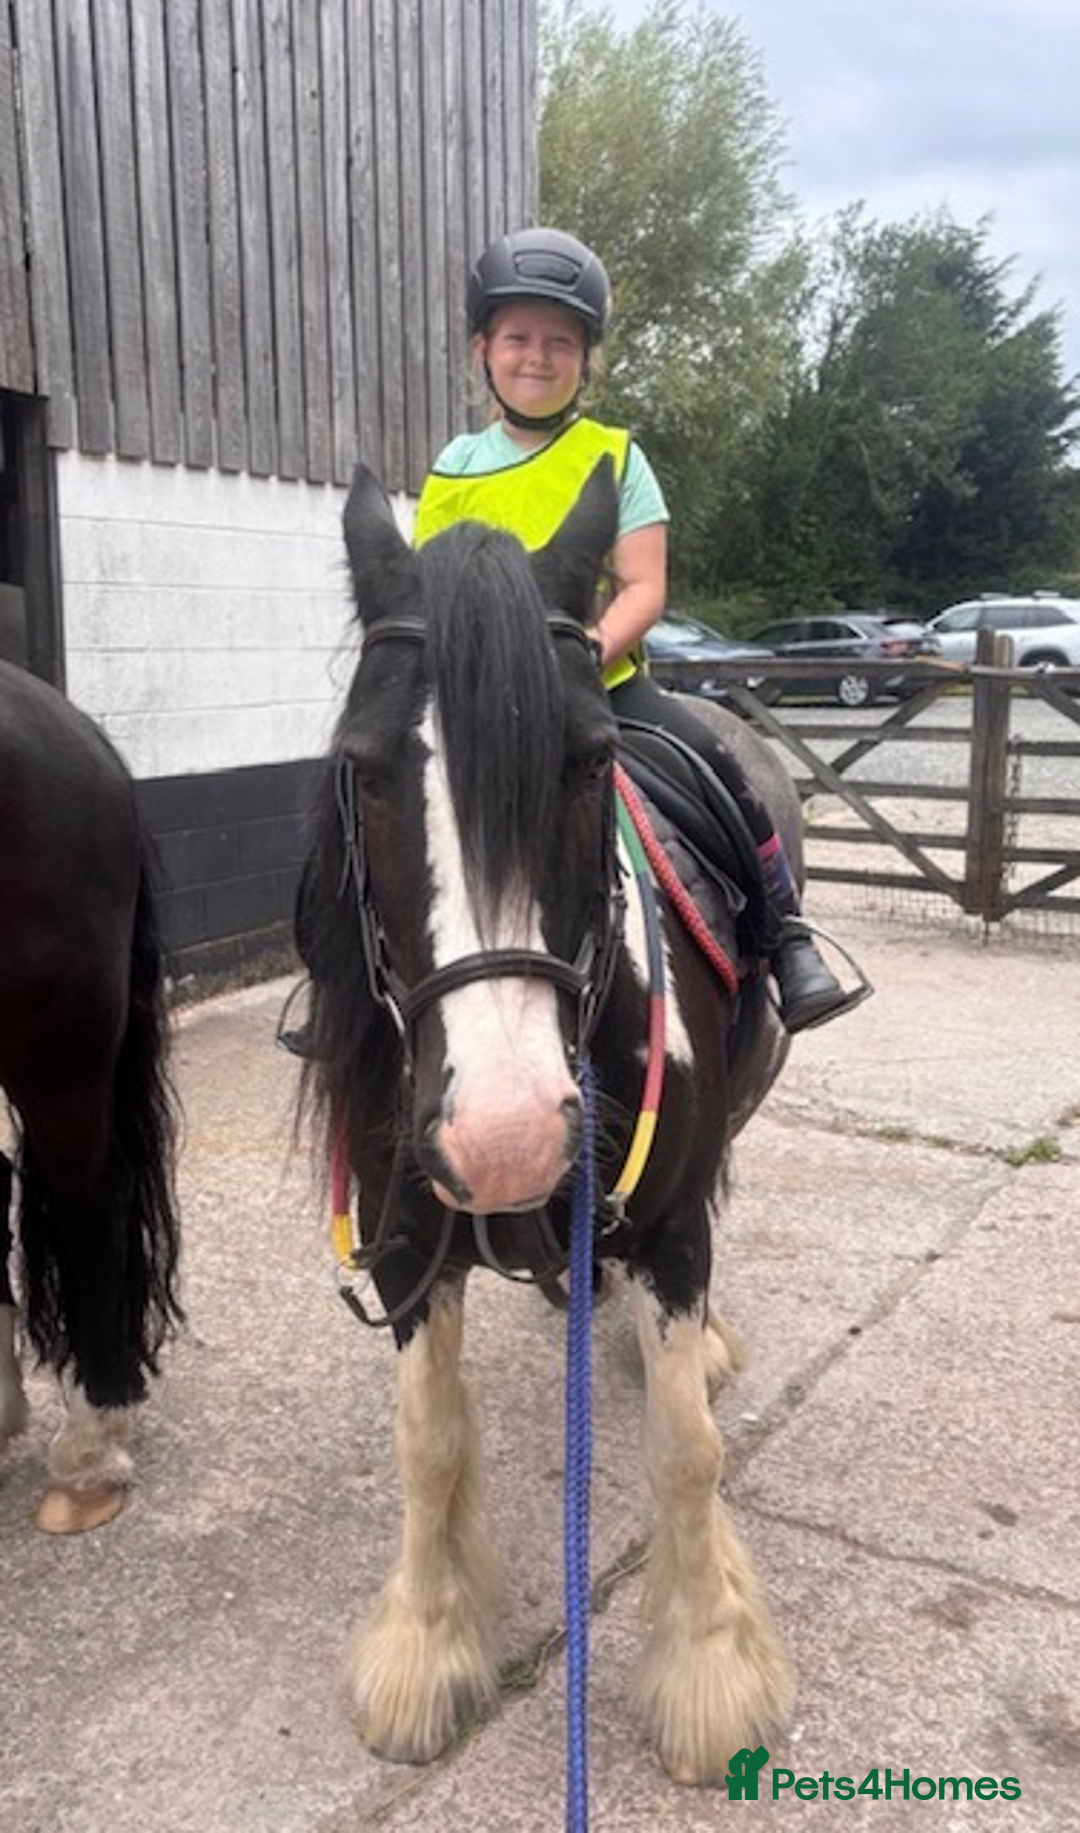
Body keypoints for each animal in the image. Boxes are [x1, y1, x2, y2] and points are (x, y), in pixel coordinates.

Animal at [302, 461, 795, 1785]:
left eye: (586, 761)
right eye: (365, 769)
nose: (509, 1136)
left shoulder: (672, 1228)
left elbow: (687, 1452)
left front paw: (709, 1671)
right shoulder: (407, 1242)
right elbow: (428, 1441)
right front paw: (427, 1649)